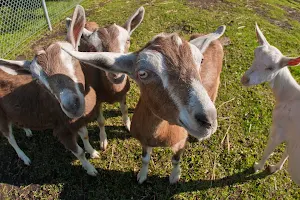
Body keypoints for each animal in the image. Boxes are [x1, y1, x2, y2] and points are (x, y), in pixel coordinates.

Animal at [0, 5, 98, 176]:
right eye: (37, 80)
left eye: (74, 57)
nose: (72, 106)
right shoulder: (62, 128)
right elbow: (78, 152)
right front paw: (91, 169)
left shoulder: (77, 120)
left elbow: (85, 135)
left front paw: (93, 152)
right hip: (1, 116)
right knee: (9, 137)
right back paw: (24, 158)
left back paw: (27, 131)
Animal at [62, 24, 225, 183]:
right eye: (142, 73)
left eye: (201, 60)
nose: (208, 121)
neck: (159, 136)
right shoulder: (144, 141)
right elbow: (145, 159)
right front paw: (142, 176)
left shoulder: (180, 142)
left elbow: (176, 160)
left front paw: (174, 177)